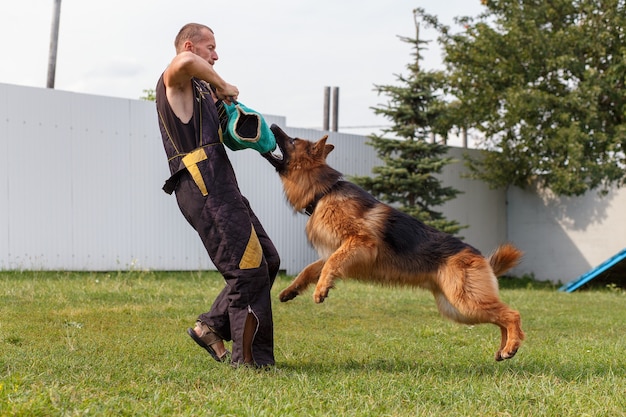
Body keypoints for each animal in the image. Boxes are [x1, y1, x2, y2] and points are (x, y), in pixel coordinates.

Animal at [260, 124, 524, 360]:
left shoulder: (360, 243)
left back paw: (511, 346)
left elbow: (332, 264)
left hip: (466, 302)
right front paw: (291, 290)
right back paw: (504, 349)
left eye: (293, 140)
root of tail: (482, 258)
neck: (323, 192)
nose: (272, 125)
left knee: (512, 314)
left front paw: (321, 290)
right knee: (501, 317)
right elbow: (310, 269)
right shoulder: (334, 251)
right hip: (459, 310)